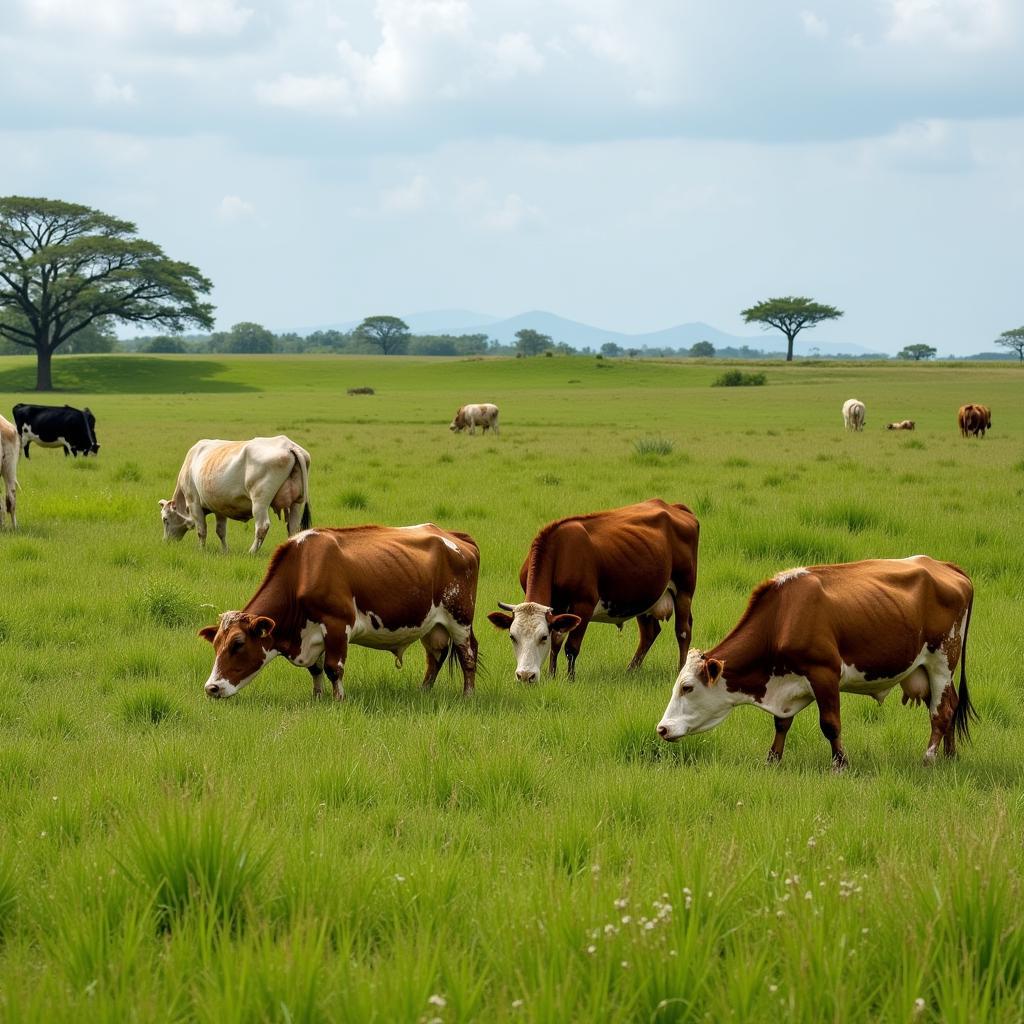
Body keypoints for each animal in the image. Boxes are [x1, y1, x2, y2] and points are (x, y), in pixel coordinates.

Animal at [157, 436, 309, 557]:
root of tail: (289, 446)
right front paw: (225, 551)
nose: (165, 541)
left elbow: (201, 531)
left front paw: (201, 550)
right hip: (297, 503)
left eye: (165, 519)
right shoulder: (219, 507)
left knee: (262, 527)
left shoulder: (194, 502)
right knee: (293, 528)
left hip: (259, 503)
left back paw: (251, 552)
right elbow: (220, 531)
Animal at [198, 524, 479, 700]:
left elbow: (334, 668)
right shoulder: (312, 634)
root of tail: (453, 535)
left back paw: (467, 696)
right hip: (432, 625)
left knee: (468, 654)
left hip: (460, 618)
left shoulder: (337, 625)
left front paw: (339, 699)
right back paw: (424, 692)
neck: (303, 571)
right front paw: (317, 697)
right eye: (216, 644)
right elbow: (316, 669)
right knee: (435, 657)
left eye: (238, 643)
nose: (212, 688)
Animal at [485, 499, 696, 684]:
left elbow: (571, 647)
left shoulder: (583, 605)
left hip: (684, 591)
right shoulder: (558, 612)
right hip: (645, 597)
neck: (560, 553)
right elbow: (556, 643)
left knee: (683, 631)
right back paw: (630, 670)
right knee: (649, 633)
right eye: (512, 637)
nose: (525, 676)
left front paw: (570, 680)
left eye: (542, 637)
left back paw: (680, 670)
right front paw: (551, 676)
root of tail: (674, 507)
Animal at [655, 561, 974, 770]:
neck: (783, 616)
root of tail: (946, 566)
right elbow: (781, 723)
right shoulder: (788, 683)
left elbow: (830, 724)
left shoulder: (825, 674)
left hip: (941, 662)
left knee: (941, 713)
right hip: (928, 671)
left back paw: (929, 758)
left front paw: (840, 764)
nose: (662, 729)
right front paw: (773, 759)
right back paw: (950, 756)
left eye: (687, 687)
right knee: (952, 703)